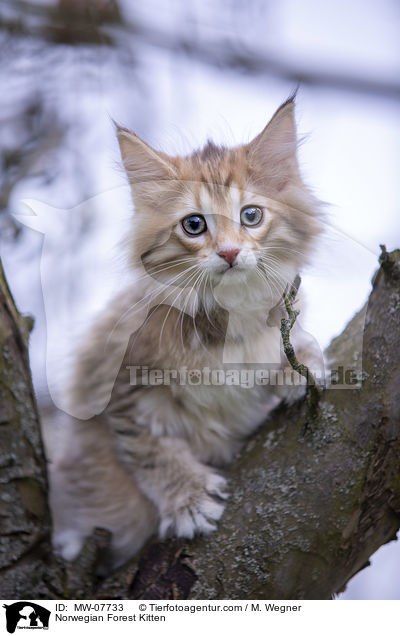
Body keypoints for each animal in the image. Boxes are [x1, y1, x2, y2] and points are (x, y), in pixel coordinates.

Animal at [50, 97, 322, 568]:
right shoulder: (118, 382)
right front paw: (187, 498)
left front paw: (300, 364)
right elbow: (149, 447)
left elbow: (291, 343)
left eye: (250, 216)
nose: (229, 252)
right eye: (194, 225)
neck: (230, 321)